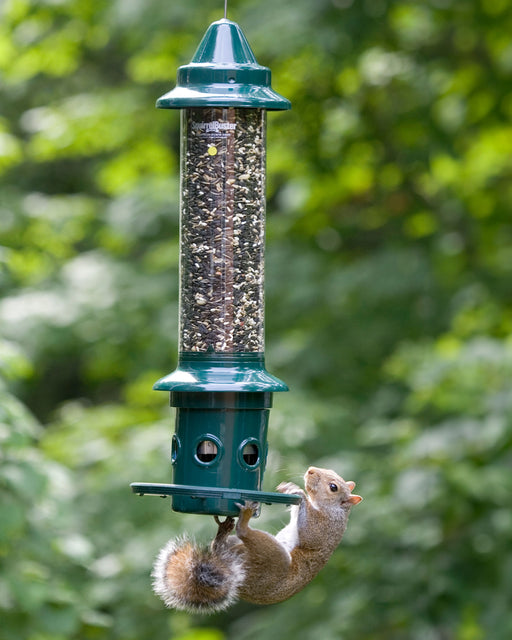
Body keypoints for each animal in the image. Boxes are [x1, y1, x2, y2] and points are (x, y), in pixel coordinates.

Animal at [152, 466, 362, 613]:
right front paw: (290, 488)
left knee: (244, 534)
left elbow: (309, 532)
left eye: (333, 487)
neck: (332, 509)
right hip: (238, 547)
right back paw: (223, 531)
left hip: (274, 559)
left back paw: (243, 521)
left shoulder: (324, 527)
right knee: (220, 546)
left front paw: (300, 494)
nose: (310, 470)